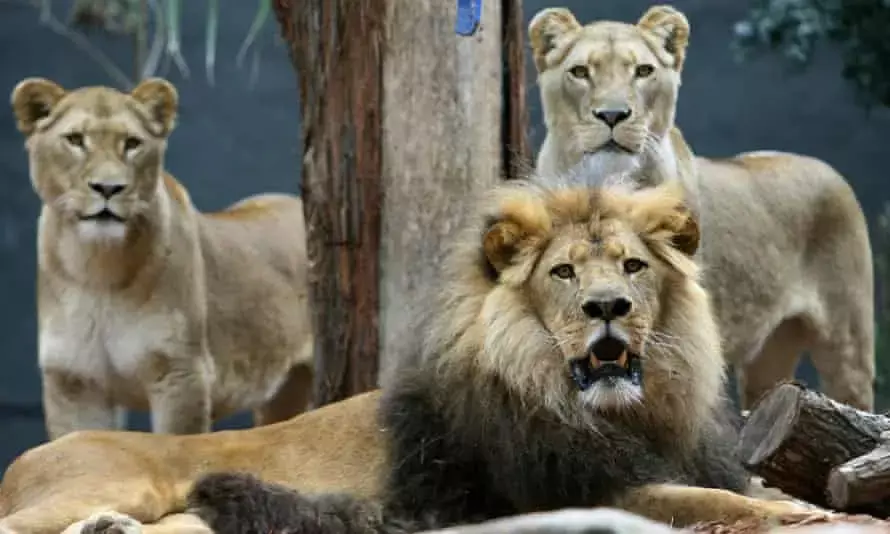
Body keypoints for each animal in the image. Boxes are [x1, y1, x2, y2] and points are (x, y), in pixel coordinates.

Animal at [0, 176, 820, 534]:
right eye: (563, 274)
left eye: (632, 268)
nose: (607, 309)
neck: (629, 414)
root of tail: (23, 460)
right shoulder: (563, 490)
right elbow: (702, 501)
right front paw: (790, 515)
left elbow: (737, 487)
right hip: (106, 484)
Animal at [10, 77, 315, 439]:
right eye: (75, 140)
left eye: (132, 143)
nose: (108, 188)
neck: (98, 270)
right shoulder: (74, 384)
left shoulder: (181, 375)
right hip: (284, 395)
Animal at [527, 4, 875, 411]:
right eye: (580, 72)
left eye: (643, 71)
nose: (613, 115)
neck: (601, 183)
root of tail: (829, 170)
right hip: (769, 357)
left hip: (847, 344)